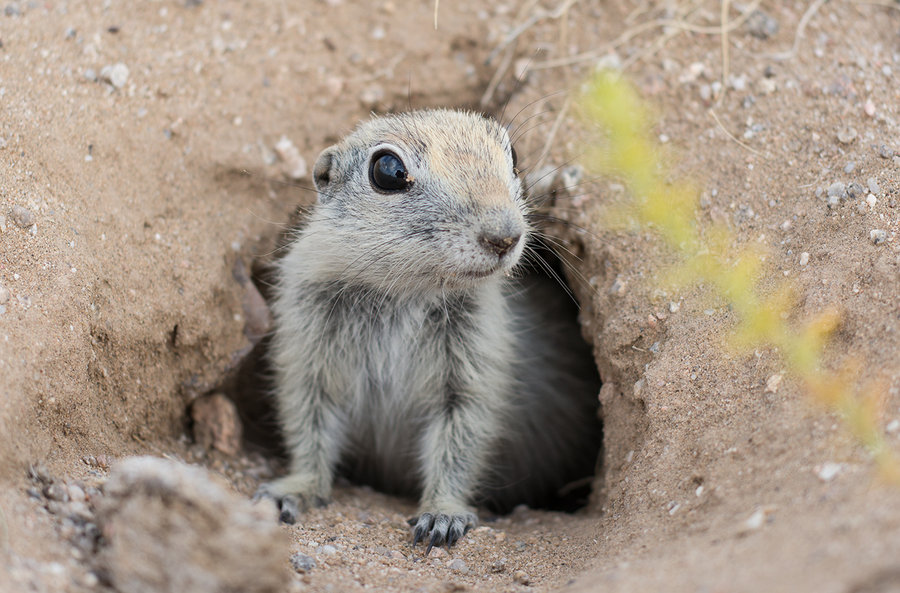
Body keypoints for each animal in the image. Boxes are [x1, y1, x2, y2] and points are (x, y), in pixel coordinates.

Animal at [256, 108, 600, 552]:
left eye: (515, 155)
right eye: (387, 170)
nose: (504, 236)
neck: (404, 292)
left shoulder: (473, 364)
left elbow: (462, 437)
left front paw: (443, 514)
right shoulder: (306, 348)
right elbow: (307, 423)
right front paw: (292, 489)